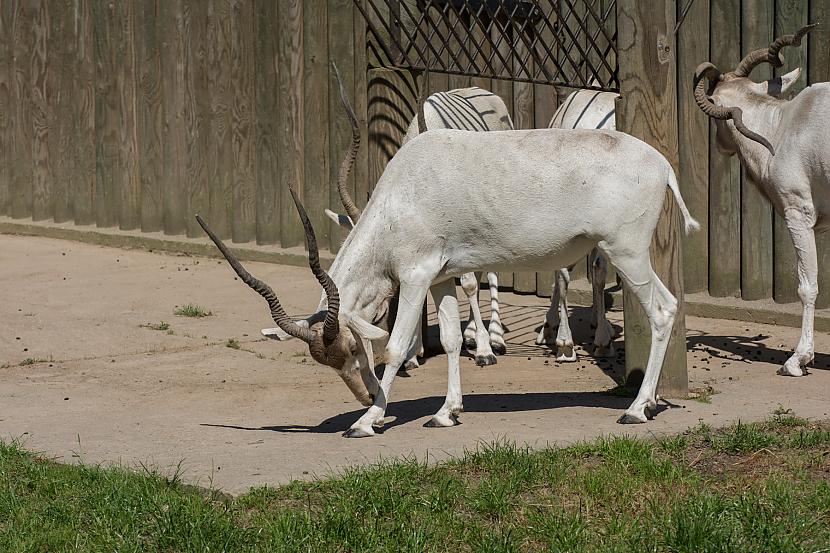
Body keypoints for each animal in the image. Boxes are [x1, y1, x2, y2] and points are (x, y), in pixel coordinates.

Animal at [198, 124, 700, 436]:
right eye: (332, 360)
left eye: (354, 348)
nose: (364, 395)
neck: (404, 192)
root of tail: (662, 166)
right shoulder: (442, 278)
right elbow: (455, 341)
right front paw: (446, 413)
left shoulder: (415, 276)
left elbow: (398, 345)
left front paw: (367, 422)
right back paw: (649, 403)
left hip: (625, 252)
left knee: (663, 308)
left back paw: (636, 410)